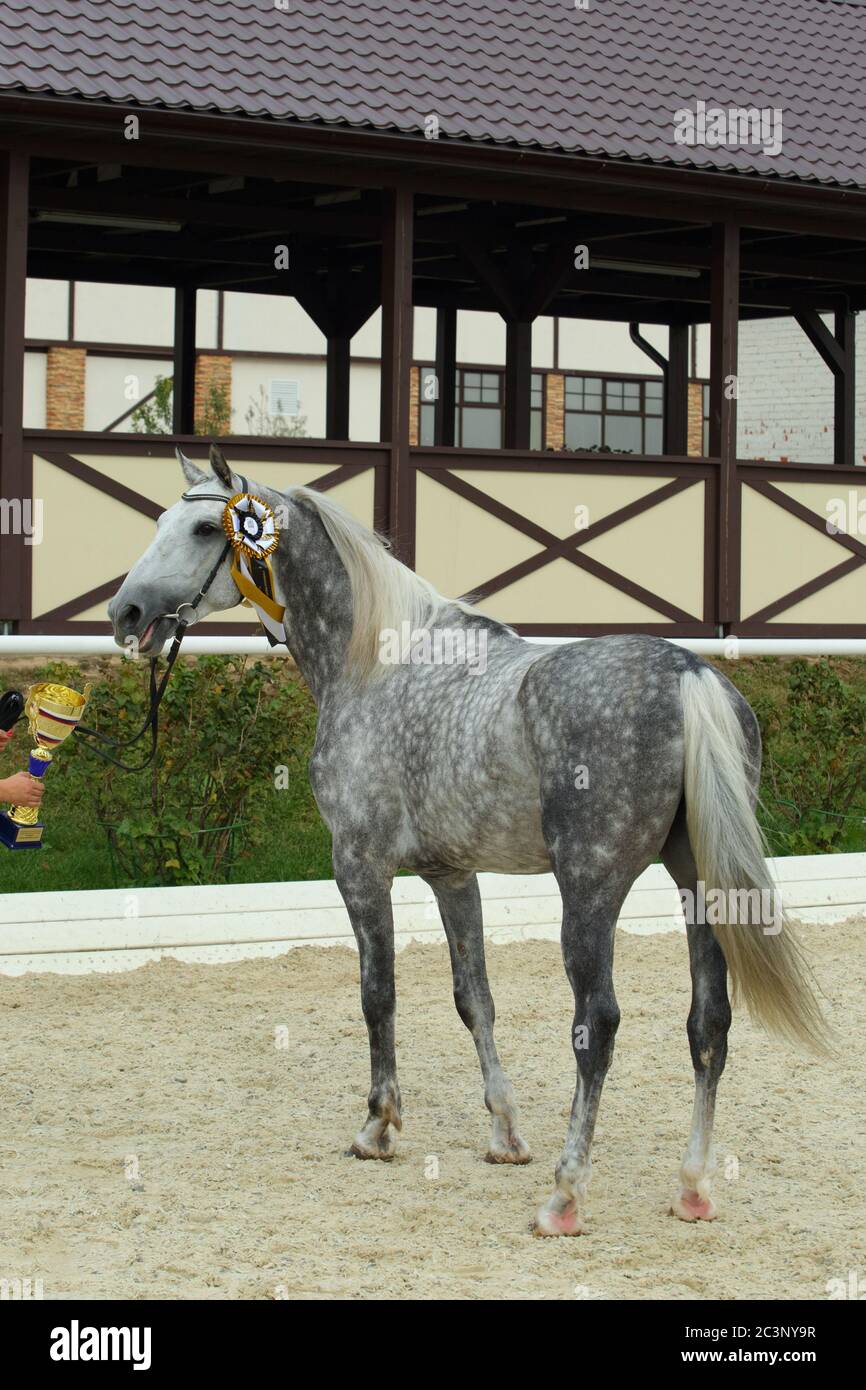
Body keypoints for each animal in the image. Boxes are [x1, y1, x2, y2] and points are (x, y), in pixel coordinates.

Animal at [109, 447, 828, 1239]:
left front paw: (379, 1128)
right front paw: (505, 1134)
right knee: (709, 1023)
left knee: (598, 1023)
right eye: (162, 520)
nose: (126, 613)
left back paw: (564, 1196)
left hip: (591, 887)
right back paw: (692, 1187)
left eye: (208, 528)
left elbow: (378, 995)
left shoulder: (358, 866)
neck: (374, 664)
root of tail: (689, 673)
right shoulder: (452, 876)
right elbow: (473, 998)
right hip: (698, 884)